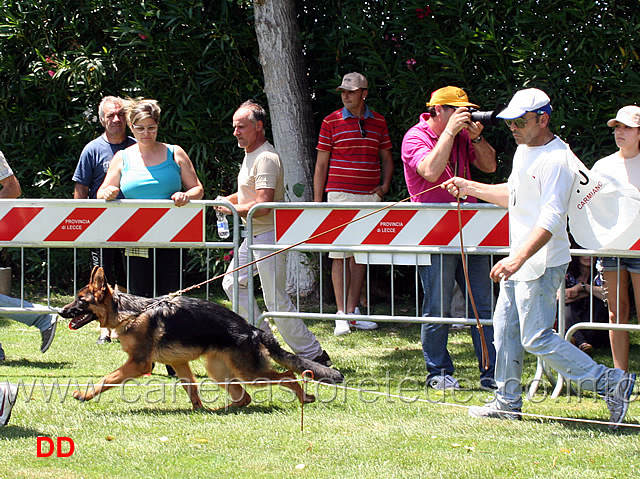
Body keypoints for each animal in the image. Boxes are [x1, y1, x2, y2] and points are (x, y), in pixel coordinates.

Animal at [58, 268, 344, 410]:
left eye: (80, 301)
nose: (60, 312)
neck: (130, 311)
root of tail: (253, 330)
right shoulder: (179, 363)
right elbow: (191, 387)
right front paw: (197, 408)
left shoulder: (139, 364)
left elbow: (107, 379)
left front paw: (85, 395)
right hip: (220, 371)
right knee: (244, 398)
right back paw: (220, 410)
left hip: (250, 374)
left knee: (289, 376)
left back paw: (304, 398)